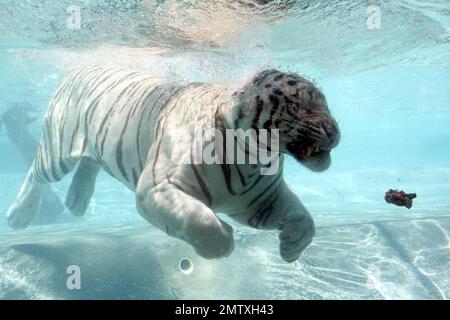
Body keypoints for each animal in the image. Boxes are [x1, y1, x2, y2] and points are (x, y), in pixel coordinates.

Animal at [7, 65, 340, 262]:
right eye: (298, 105)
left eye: (325, 103)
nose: (336, 132)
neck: (253, 158)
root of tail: (82, 66)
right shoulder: (156, 188)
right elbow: (199, 219)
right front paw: (223, 245)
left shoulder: (260, 200)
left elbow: (304, 218)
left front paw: (291, 248)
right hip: (57, 150)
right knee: (36, 172)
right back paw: (18, 215)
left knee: (90, 163)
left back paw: (76, 202)